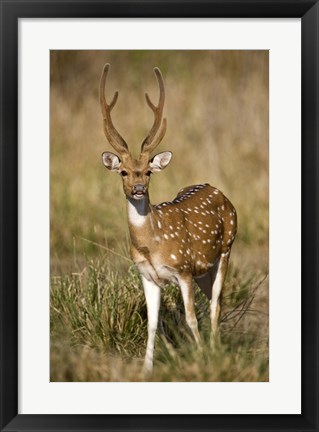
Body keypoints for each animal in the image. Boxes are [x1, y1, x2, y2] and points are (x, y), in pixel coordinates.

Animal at [100, 63, 238, 372]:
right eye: (123, 171)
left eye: (148, 172)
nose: (138, 188)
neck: (152, 243)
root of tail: (216, 189)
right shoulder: (147, 276)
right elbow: (153, 324)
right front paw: (146, 369)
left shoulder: (183, 269)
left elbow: (190, 318)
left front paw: (201, 359)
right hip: (204, 270)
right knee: (216, 299)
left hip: (226, 249)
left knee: (215, 303)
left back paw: (215, 350)